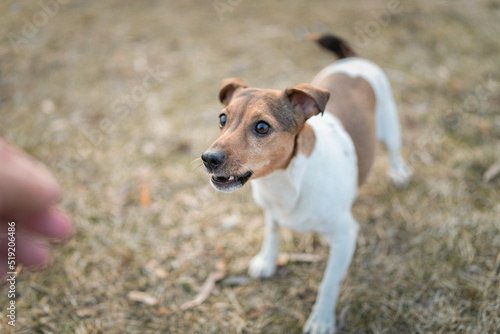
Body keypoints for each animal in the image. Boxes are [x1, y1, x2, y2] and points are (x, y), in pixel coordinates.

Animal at [201, 34, 412, 334]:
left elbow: (329, 283)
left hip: (390, 126)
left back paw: (399, 173)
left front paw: (322, 319)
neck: (286, 181)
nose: (209, 159)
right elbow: (272, 233)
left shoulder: (347, 234)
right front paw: (267, 260)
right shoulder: (271, 210)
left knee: (394, 151)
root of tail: (351, 58)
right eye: (222, 119)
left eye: (262, 127)